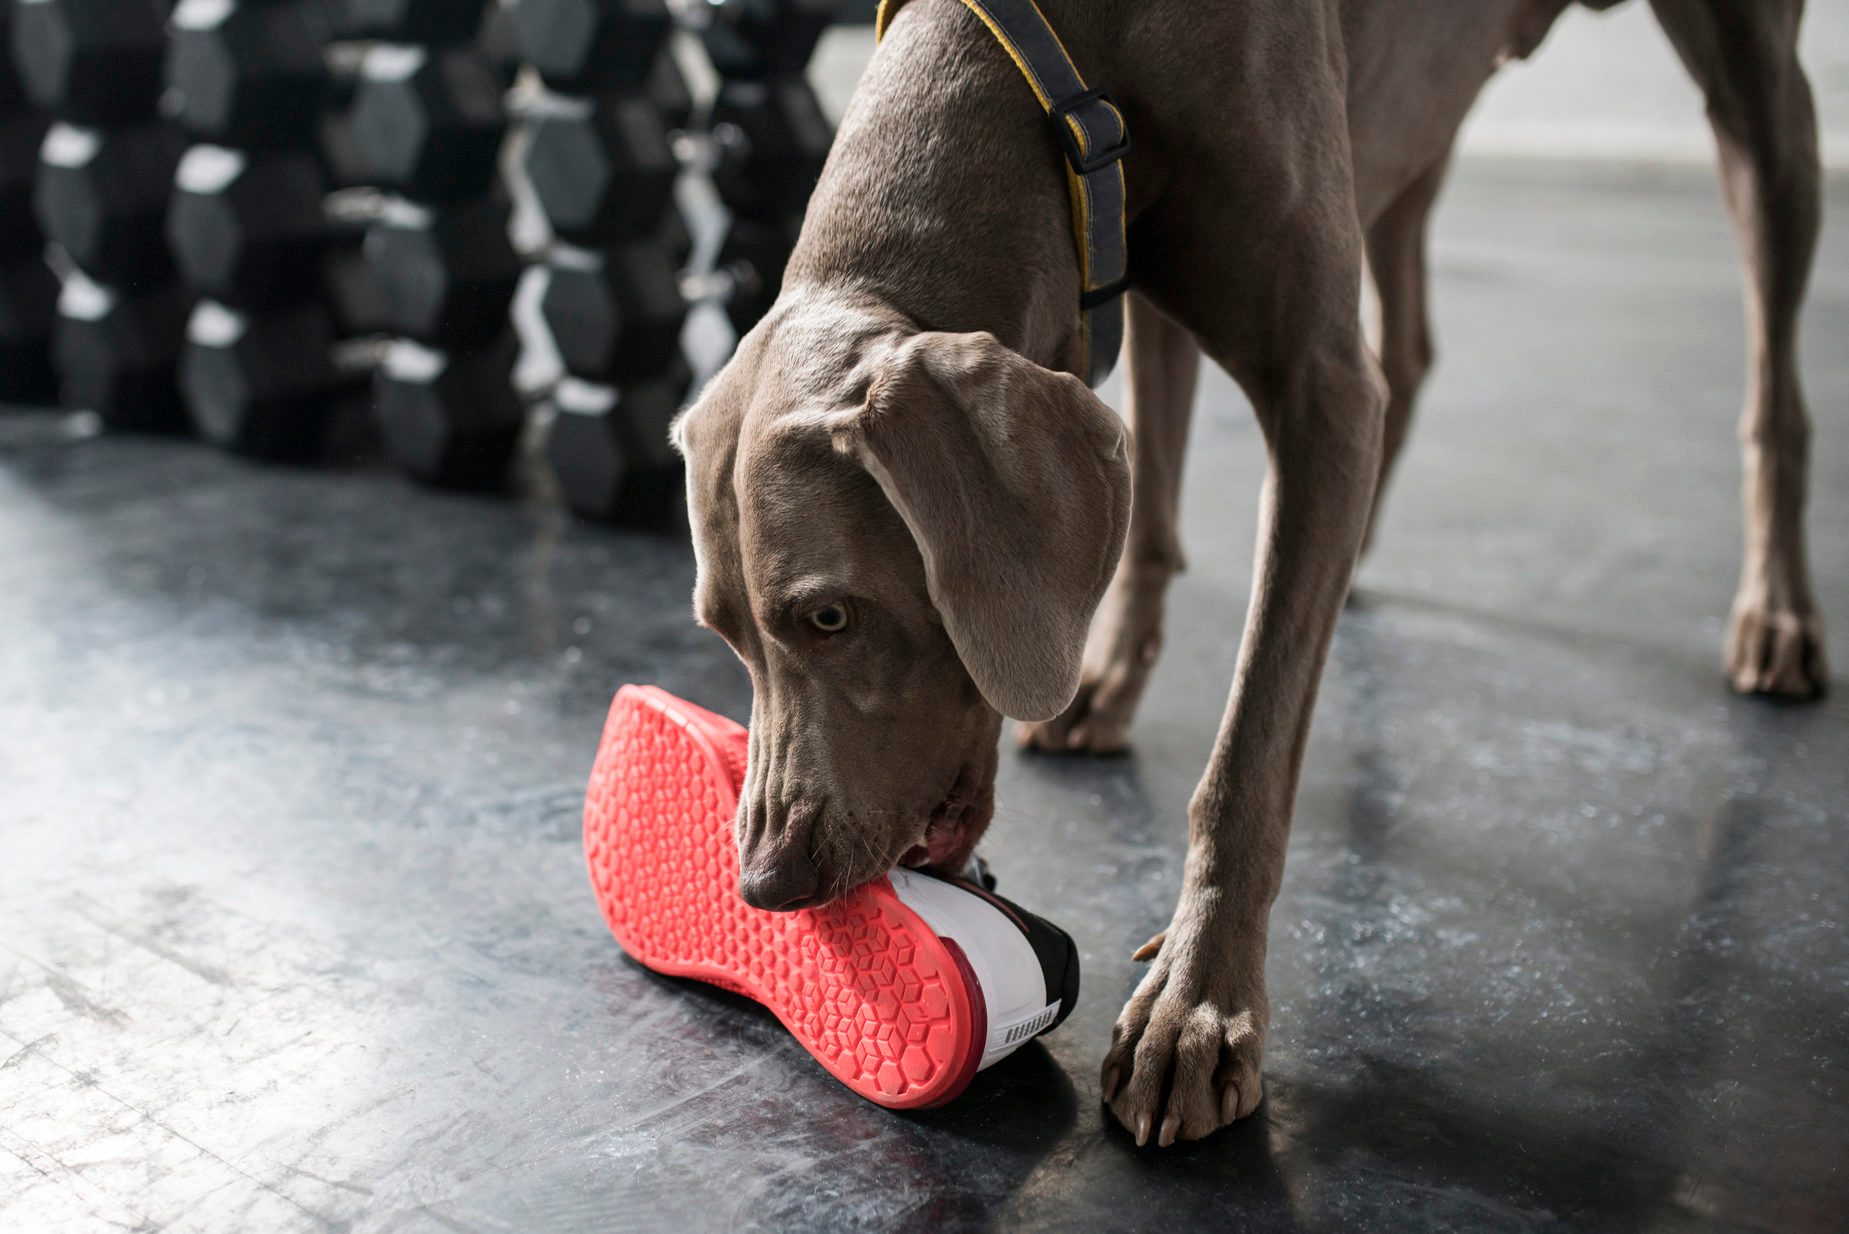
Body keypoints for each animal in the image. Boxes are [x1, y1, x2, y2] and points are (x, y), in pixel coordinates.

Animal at [673, 0, 1826, 1147]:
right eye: (723, 634)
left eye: (830, 616)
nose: (764, 886)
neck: (1058, 56)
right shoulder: (1120, 259)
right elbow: (1147, 508)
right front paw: (1108, 678)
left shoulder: (1315, 385)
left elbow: (1249, 751)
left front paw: (1196, 1003)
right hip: (1408, 133)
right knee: (1408, 346)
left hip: (1756, 101)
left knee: (1774, 376)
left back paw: (1776, 615)